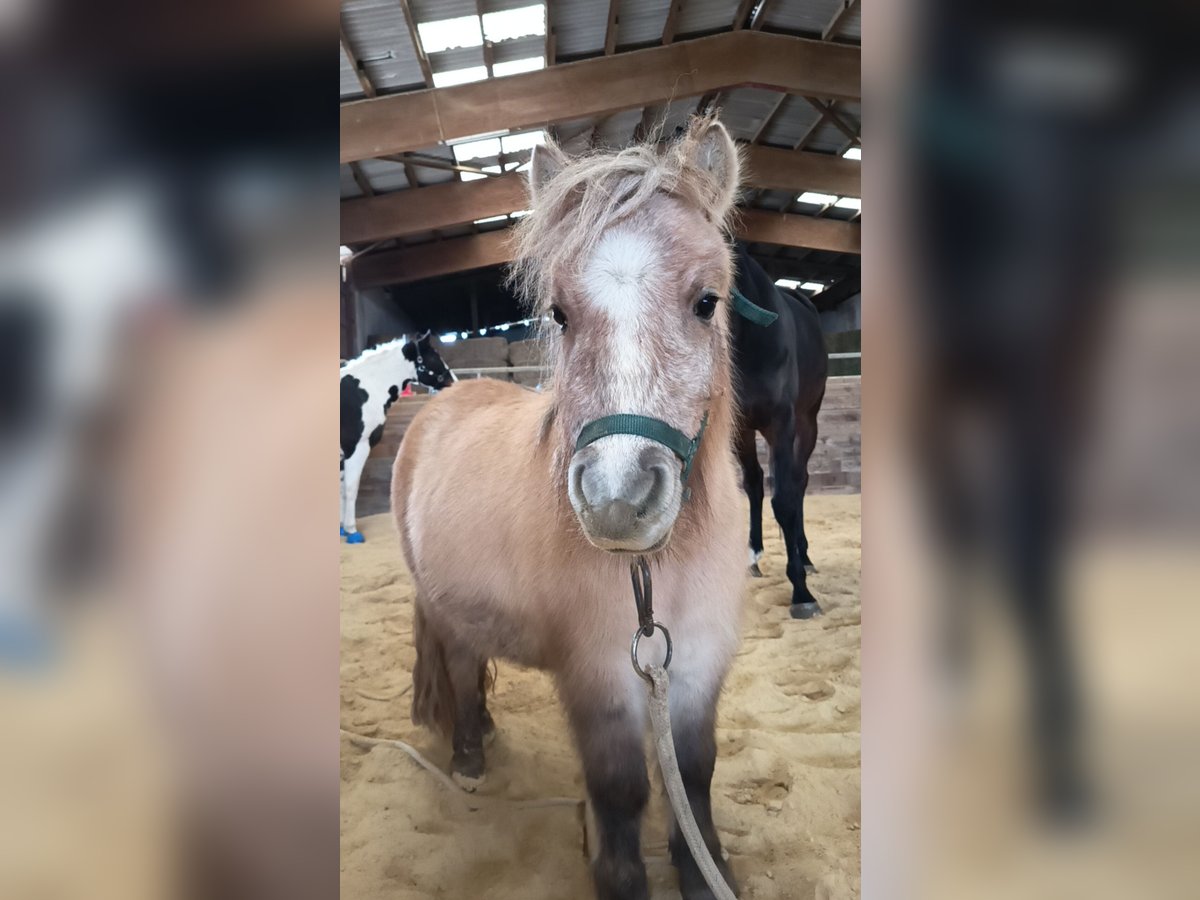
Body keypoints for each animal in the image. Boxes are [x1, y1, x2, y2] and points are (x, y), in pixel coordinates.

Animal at [340, 332, 453, 543]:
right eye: (434, 356)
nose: (453, 381)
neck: (362, 391)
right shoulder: (357, 447)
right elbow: (350, 488)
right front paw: (351, 531)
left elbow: (342, 488)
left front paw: (342, 528)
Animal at [392, 116, 746, 900]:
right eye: (559, 312)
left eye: (706, 300)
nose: (618, 500)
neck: (658, 571)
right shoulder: (598, 677)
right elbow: (619, 790)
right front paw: (620, 879)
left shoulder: (699, 665)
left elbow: (694, 774)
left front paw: (704, 868)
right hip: (441, 607)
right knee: (458, 664)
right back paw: (469, 756)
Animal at [730, 244, 829, 619]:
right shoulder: (739, 426)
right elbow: (754, 485)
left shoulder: (781, 422)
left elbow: (785, 500)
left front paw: (801, 592)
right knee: (758, 483)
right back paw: (755, 555)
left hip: (807, 421)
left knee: (799, 482)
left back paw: (805, 554)